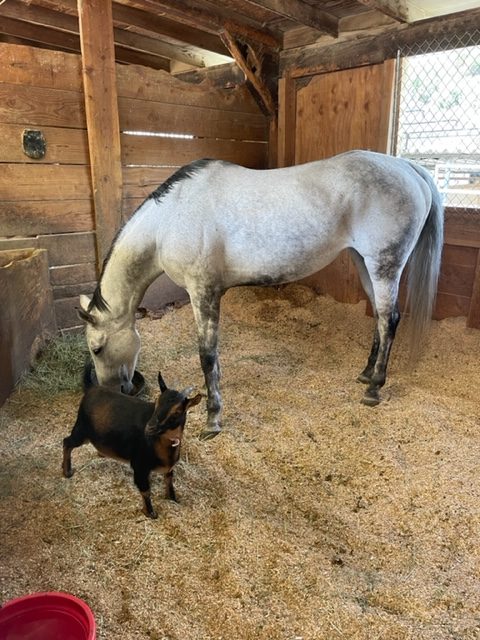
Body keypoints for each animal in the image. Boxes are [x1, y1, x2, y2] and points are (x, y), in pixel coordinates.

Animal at [62, 372, 202, 518]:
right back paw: (67, 472)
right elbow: (145, 490)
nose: (149, 427)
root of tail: (91, 389)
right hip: (82, 430)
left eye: (177, 411)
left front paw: (174, 499)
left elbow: (169, 483)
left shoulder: (169, 468)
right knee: (67, 442)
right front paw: (150, 513)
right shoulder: (139, 466)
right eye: (157, 403)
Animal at [77, 150, 443, 439]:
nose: (113, 391)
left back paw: (374, 388)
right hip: (363, 262)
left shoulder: (203, 291)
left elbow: (207, 356)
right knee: (380, 319)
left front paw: (212, 420)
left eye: (97, 348)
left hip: (384, 265)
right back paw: (366, 373)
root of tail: (407, 166)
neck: (169, 219)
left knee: (389, 319)